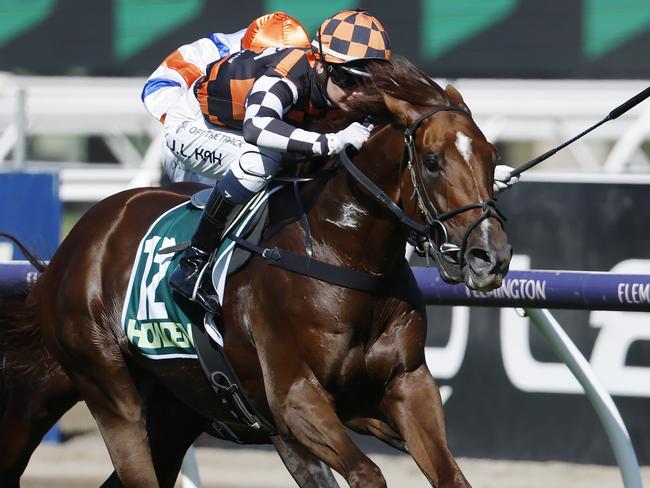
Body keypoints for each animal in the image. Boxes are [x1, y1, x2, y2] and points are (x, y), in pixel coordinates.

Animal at [0, 58, 506, 488]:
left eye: (490, 156)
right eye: (432, 161)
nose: (491, 255)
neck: (343, 254)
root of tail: (75, 245)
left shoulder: (404, 386)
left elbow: (449, 475)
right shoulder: (296, 398)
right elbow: (367, 473)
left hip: (172, 413)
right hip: (106, 391)